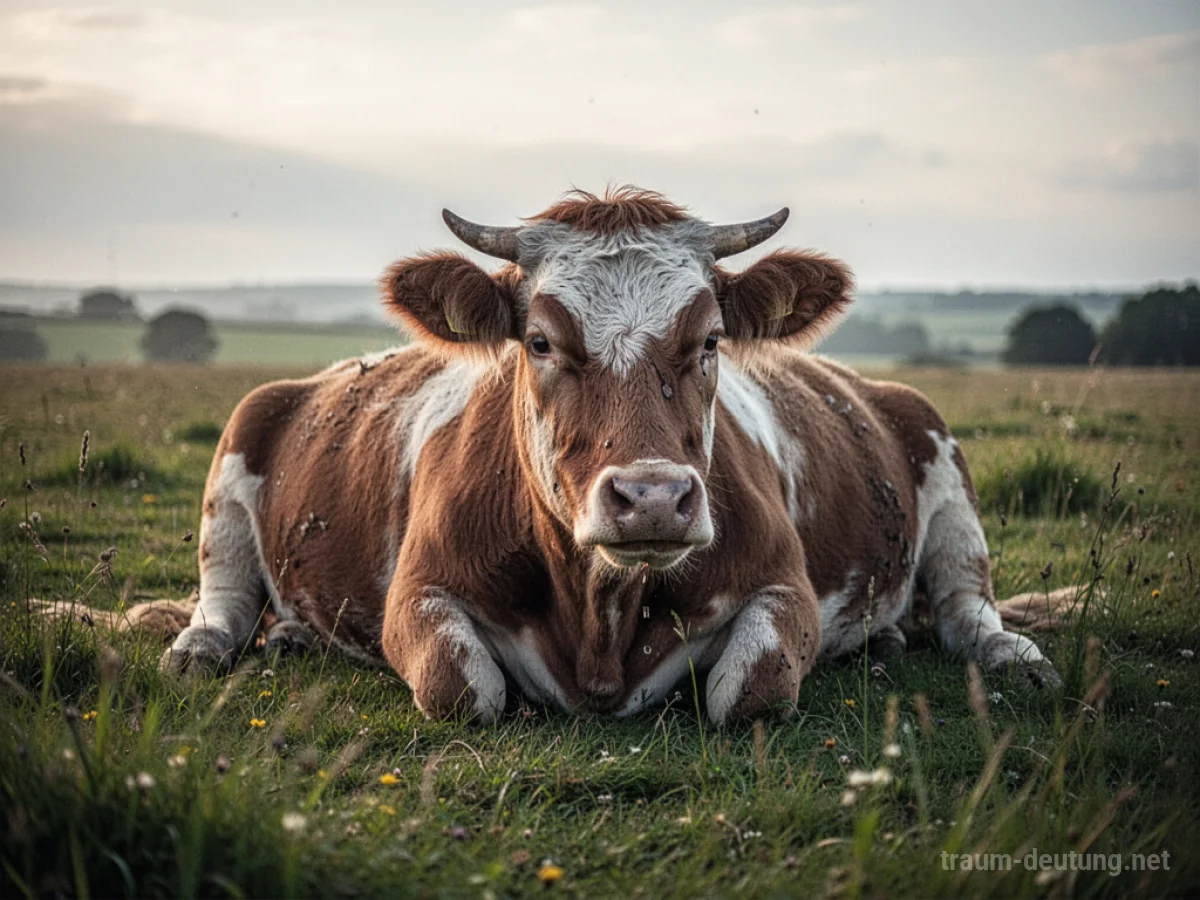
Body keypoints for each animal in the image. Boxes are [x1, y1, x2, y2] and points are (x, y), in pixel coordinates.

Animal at [157, 187, 1061, 725]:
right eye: (539, 340)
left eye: (711, 339)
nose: (654, 498)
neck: (599, 617)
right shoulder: (418, 594)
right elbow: (462, 686)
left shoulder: (786, 586)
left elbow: (749, 689)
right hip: (237, 446)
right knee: (224, 601)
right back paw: (224, 645)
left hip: (945, 469)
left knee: (967, 608)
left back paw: (1000, 655)